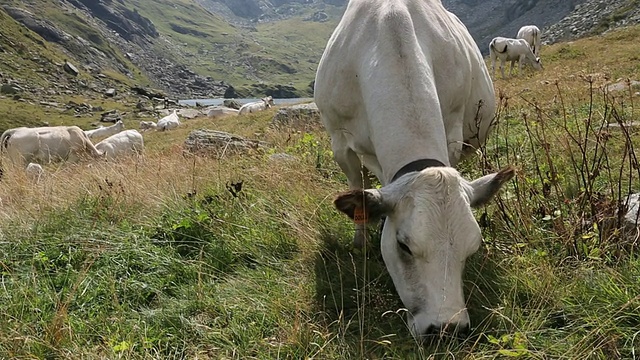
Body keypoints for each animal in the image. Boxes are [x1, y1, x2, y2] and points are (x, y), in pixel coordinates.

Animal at [316, 0, 516, 338]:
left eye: (472, 248)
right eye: (404, 246)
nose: (447, 327)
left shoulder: (452, 135)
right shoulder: (340, 141)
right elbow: (356, 183)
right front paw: (360, 242)